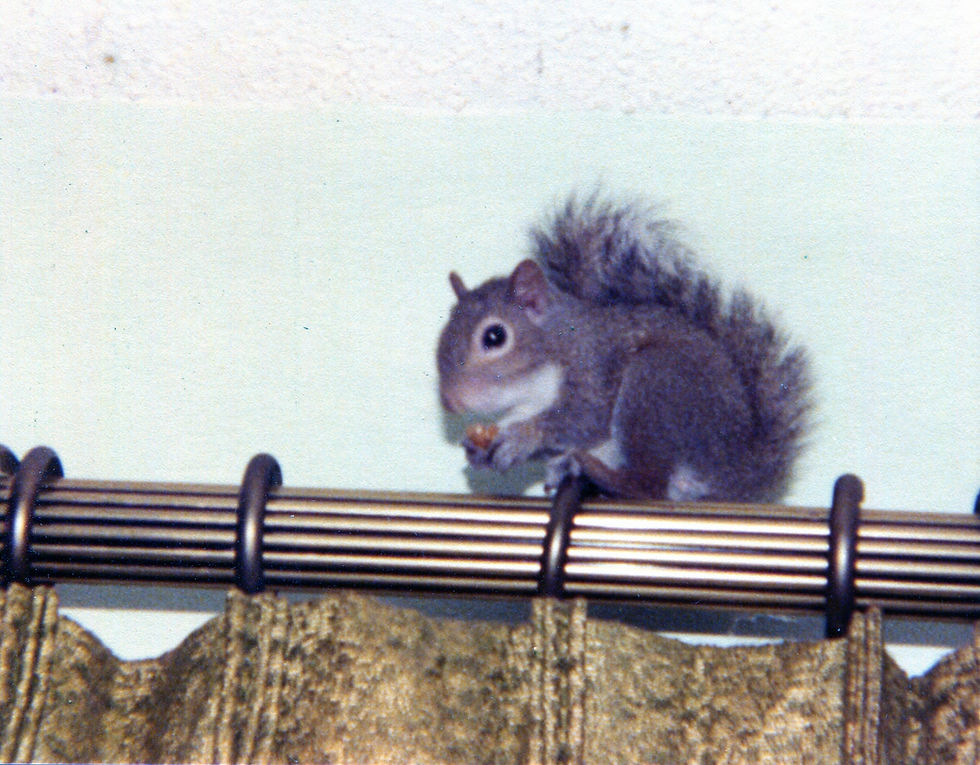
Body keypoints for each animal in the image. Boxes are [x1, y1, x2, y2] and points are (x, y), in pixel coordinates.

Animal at [436, 193, 812, 502]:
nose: (451, 401)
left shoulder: (594, 366)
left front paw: (524, 435)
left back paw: (595, 471)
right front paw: (478, 451)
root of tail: (740, 473)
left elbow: (584, 419)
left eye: (494, 337)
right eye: (446, 325)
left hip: (655, 387)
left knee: (649, 485)